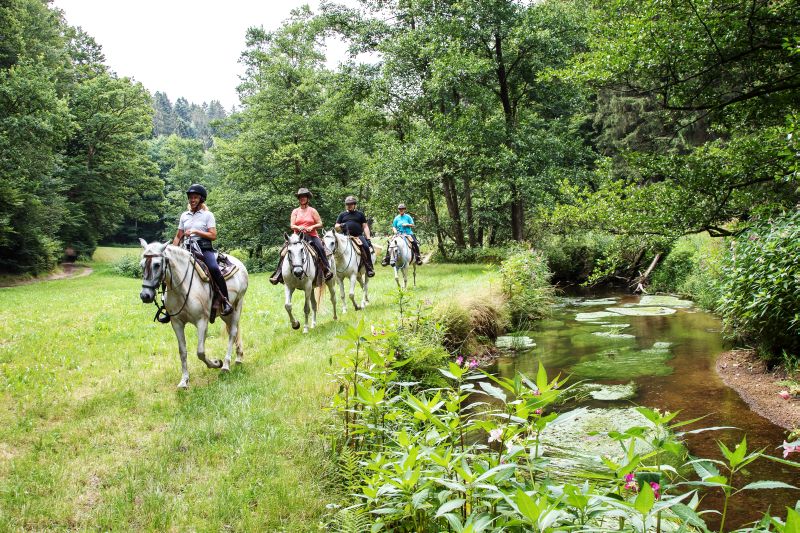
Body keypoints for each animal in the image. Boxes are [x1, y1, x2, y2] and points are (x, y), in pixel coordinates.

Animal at [138, 240, 247, 386]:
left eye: (157, 265)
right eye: (142, 265)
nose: (145, 295)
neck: (181, 288)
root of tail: (240, 263)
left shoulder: (202, 321)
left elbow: (200, 352)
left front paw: (216, 363)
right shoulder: (177, 323)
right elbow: (182, 351)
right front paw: (184, 380)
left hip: (237, 306)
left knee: (233, 333)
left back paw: (226, 365)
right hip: (226, 314)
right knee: (233, 330)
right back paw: (239, 357)